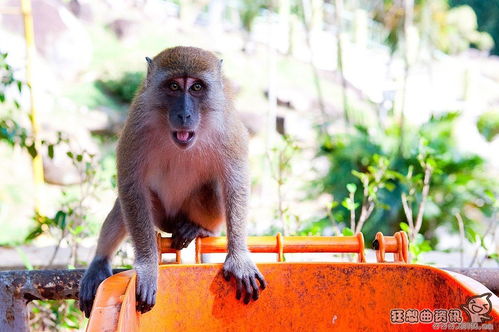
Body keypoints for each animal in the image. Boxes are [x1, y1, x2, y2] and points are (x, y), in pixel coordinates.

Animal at [79, 46, 266, 316]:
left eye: (196, 87)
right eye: (174, 86)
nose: (184, 114)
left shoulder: (228, 128)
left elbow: (235, 181)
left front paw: (239, 257)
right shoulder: (136, 126)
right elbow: (131, 186)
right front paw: (148, 267)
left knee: (213, 189)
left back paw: (199, 229)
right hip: (160, 216)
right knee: (125, 204)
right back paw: (99, 261)